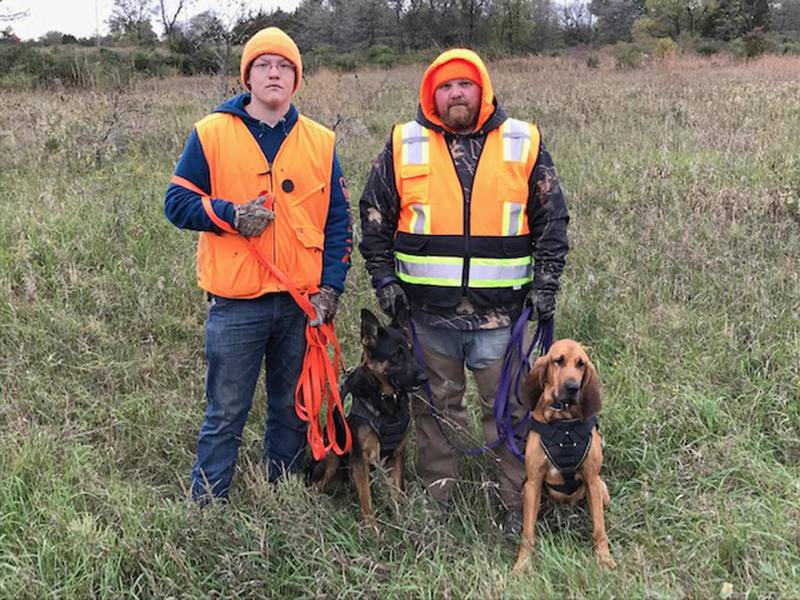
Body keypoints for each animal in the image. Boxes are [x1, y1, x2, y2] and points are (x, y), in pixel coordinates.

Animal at [310, 308, 428, 532]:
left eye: (411, 351)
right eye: (397, 355)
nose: (425, 378)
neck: (385, 399)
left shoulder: (397, 455)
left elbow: (395, 492)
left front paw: (400, 521)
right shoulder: (360, 458)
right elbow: (366, 499)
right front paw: (373, 531)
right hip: (332, 457)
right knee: (316, 485)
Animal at [512, 340, 620, 568]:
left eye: (581, 364)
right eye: (558, 361)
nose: (573, 387)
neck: (564, 423)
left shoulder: (592, 479)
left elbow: (599, 529)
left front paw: (605, 559)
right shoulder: (533, 482)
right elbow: (528, 533)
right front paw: (522, 565)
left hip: (601, 490)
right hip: (527, 492)